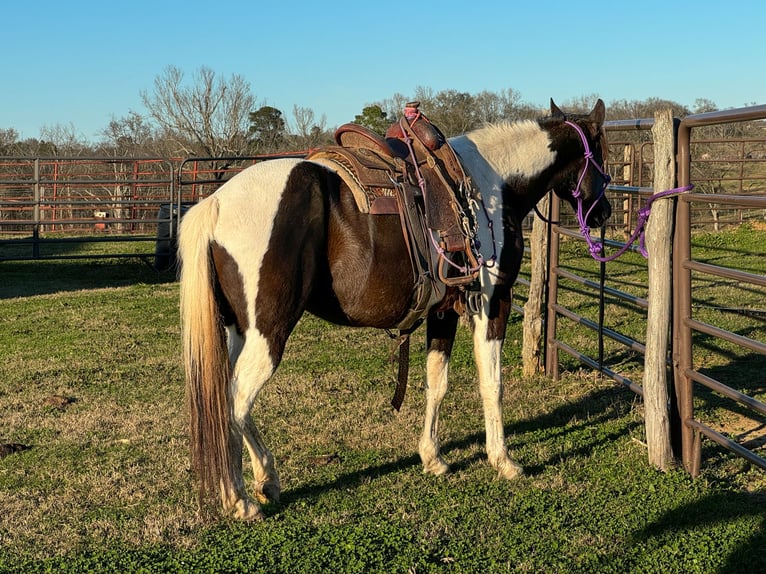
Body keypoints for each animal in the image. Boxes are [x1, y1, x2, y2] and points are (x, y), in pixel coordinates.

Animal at [178, 99, 612, 520]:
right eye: (602, 155)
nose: (605, 211)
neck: (494, 186)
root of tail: (216, 202)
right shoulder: (493, 302)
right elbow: (493, 383)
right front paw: (503, 460)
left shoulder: (444, 310)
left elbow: (436, 383)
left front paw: (432, 458)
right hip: (268, 333)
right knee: (235, 402)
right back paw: (240, 498)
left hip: (238, 331)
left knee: (226, 400)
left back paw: (261, 481)